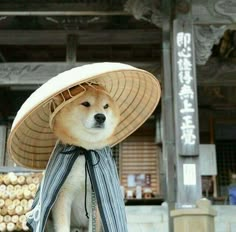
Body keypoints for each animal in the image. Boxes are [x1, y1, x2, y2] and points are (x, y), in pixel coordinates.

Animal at [49, 84, 120, 232]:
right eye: (86, 104)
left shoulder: (98, 197)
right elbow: (62, 226)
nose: (100, 117)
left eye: (106, 106)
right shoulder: (63, 193)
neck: (85, 152)